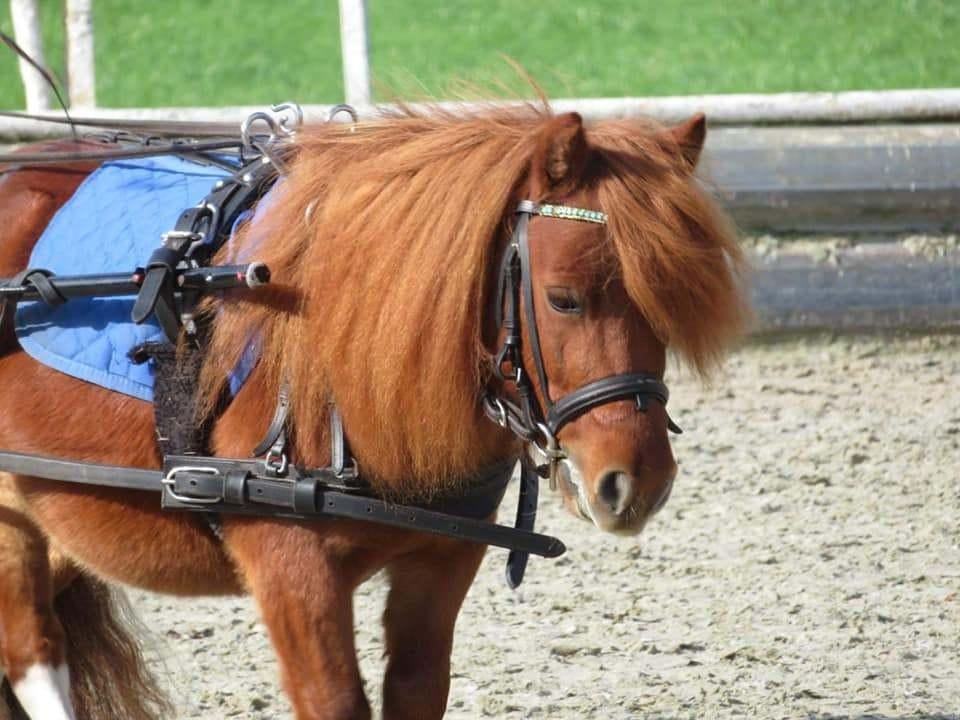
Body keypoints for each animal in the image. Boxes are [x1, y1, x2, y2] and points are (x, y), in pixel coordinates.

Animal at [0, 104, 748, 720]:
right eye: (564, 299)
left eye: (667, 306)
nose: (637, 483)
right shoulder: (290, 570)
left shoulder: (442, 561)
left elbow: (416, 690)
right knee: (31, 651)